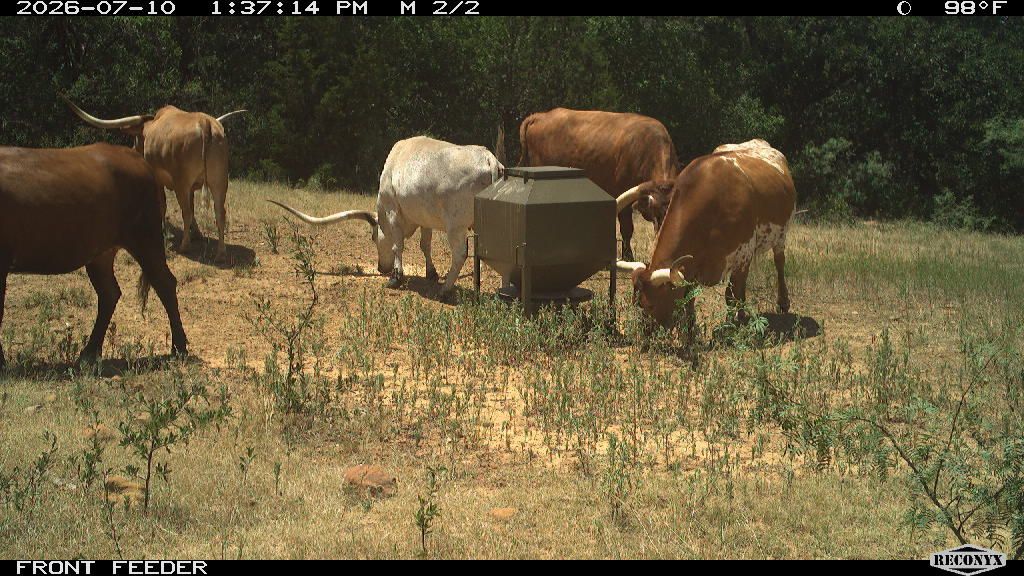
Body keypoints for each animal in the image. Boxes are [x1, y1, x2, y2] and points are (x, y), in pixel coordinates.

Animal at [0, 143, 188, 369]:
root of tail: (136, 157)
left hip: (145, 237)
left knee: (164, 283)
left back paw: (179, 346)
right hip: (101, 253)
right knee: (110, 293)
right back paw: (90, 352)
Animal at [63, 97, 246, 260]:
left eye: (136, 137)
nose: (133, 149)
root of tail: (204, 122)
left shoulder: (159, 179)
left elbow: (163, 204)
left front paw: (164, 231)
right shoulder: (192, 187)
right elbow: (192, 207)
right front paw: (197, 234)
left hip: (182, 183)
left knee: (186, 212)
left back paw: (185, 246)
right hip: (219, 182)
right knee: (219, 213)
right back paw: (221, 253)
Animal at [270, 136, 503, 297]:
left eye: (373, 237)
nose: (381, 268)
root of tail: (489, 159)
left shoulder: (393, 213)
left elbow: (397, 245)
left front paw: (395, 279)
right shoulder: (424, 219)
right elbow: (425, 245)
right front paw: (431, 273)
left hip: (456, 226)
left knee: (460, 254)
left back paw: (444, 290)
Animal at [615, 139, 796, 335]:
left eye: (651, 306)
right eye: (636, 303)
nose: (647, 334)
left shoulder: (742, 255)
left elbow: (732, 296)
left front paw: (733, 325)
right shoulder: (693, 266)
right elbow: (690, 299)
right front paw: (691, 330)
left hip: (780, 236)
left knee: (779, 262)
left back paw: (782, 303)